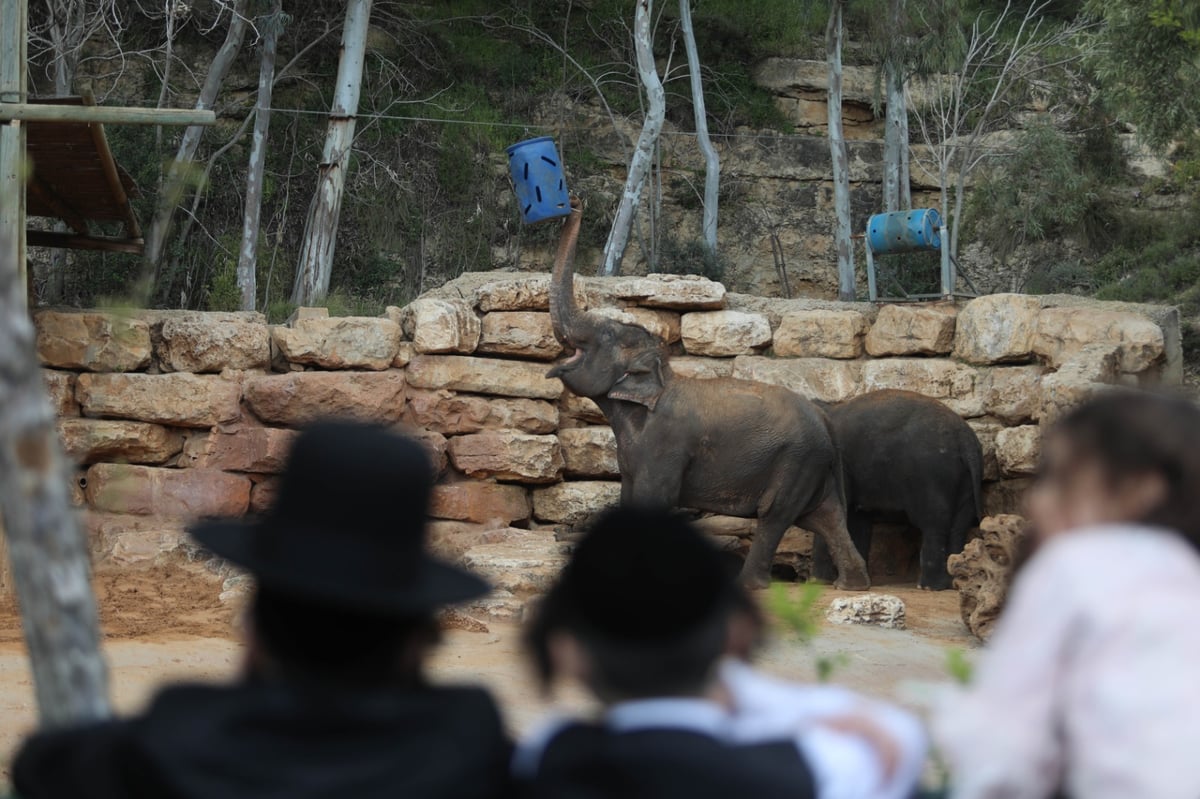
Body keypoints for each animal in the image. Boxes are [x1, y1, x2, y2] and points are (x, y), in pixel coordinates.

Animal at [549, 196, 868, 587]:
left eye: (606, 336)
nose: (574, 202)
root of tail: (826, 420)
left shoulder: (666, 446)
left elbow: (653, 501)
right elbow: (629, 497)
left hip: (797, 461)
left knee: (775, 514)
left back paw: (751, 584)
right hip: (814, 466)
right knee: (826, 517)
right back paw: (850, 584)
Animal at [806, 388, 984, 587]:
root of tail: (966, 440)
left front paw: (817, 582)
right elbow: (857, 519)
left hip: (932, 473)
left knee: (934, 522)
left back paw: (929, 586)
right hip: (966, 478)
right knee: (960, 523)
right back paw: (953, 581)